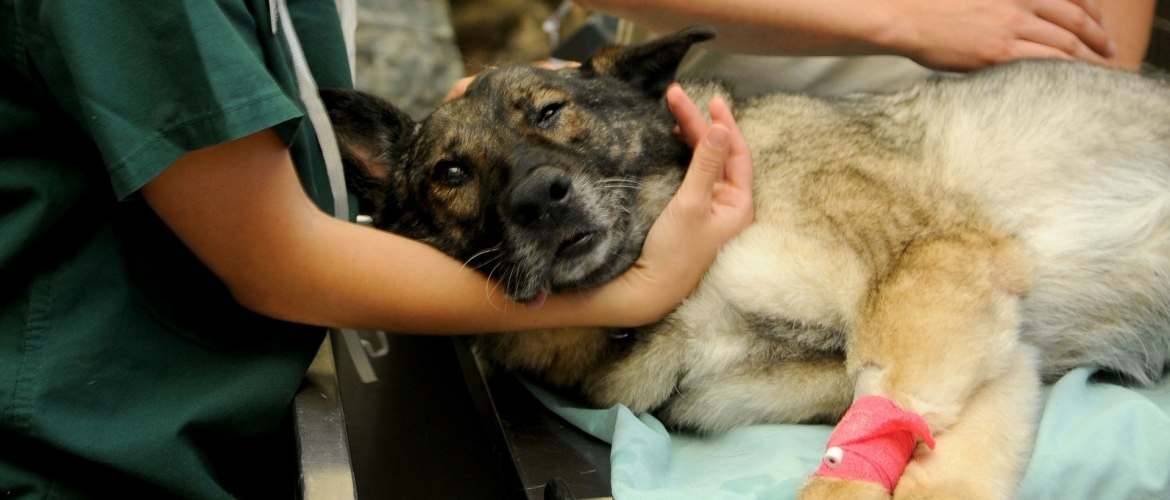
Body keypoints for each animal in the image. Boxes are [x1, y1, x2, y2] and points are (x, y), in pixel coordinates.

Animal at [320, 30, 1170, 500]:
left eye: (550, 111)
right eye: (450, 173)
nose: (539, 198)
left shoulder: (934, 269)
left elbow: (879, 436)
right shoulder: (991, 349)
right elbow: (931, 454)